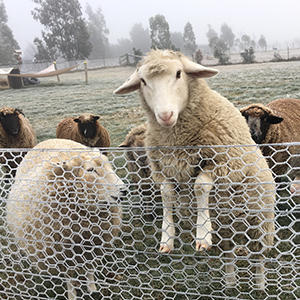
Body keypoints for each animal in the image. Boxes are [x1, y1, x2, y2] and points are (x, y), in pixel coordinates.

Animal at [6, 139, 125, 300]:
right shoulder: (62, 254)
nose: (124, 190)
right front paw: (72, 294)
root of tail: (48, 140)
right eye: (90, 170)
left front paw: (92, 288)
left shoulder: (93, 245)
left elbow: (90, 269)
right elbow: (70, 277)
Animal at [113, 49, 276, 288]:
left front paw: (202, 233)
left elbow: (200, 186)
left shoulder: (223, 163)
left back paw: (259, 282)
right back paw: (229, 280)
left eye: (179, 73)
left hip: (259, 220)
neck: (177, 139)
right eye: (143, 81)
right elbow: (166, 193)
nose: (165, 115)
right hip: (226, 227)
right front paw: (167, 237)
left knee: (259, 254)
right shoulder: (163, 170)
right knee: (229, 251)